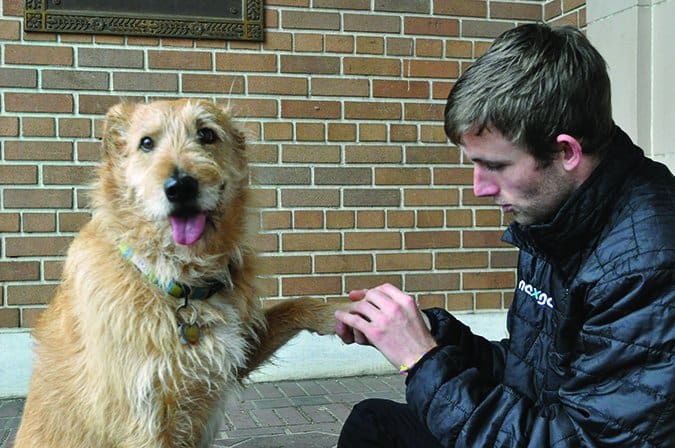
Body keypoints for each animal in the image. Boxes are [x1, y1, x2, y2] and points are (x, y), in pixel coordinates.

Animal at [15, 100, 344, 446]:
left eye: (206, 134)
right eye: (146, 143)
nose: (181, 187)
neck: (179, 280)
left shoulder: (234, 355)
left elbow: (292, 306)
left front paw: (338, 311)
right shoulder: (142, 418)